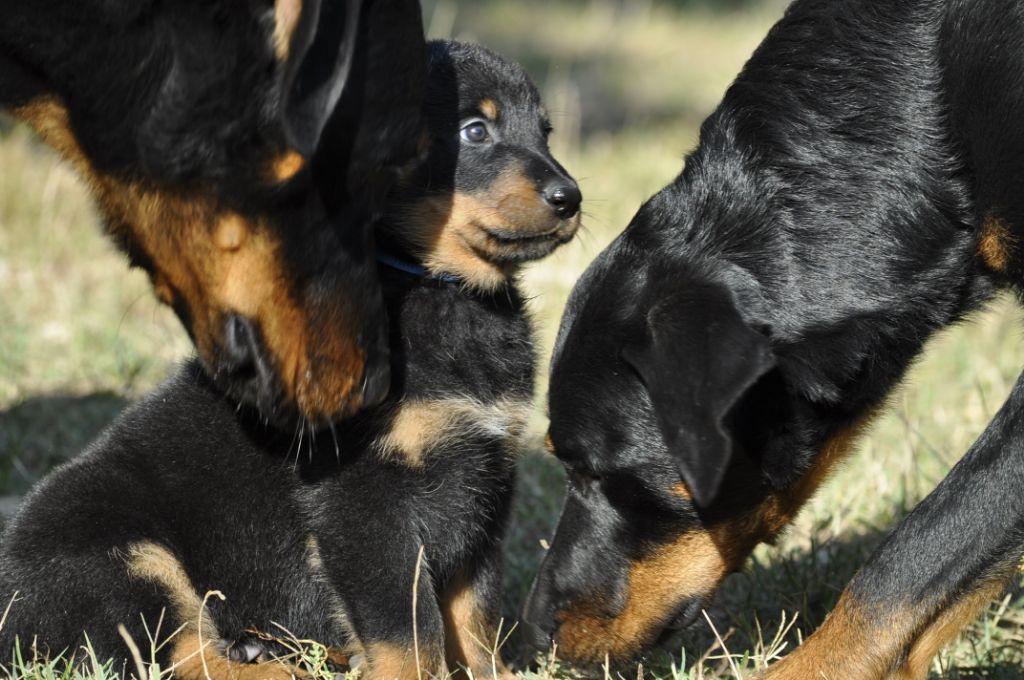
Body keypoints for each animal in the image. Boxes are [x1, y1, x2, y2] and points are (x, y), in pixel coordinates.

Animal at [0, 41, 581, 680]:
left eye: (545, 132)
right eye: (475, 130)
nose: (570, 198)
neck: (438, 289)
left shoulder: (484, 485)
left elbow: (474, 619)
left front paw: (495, 672)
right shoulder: (363, 503)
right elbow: (410, 630)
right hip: (124, 559)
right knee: (181, 654)